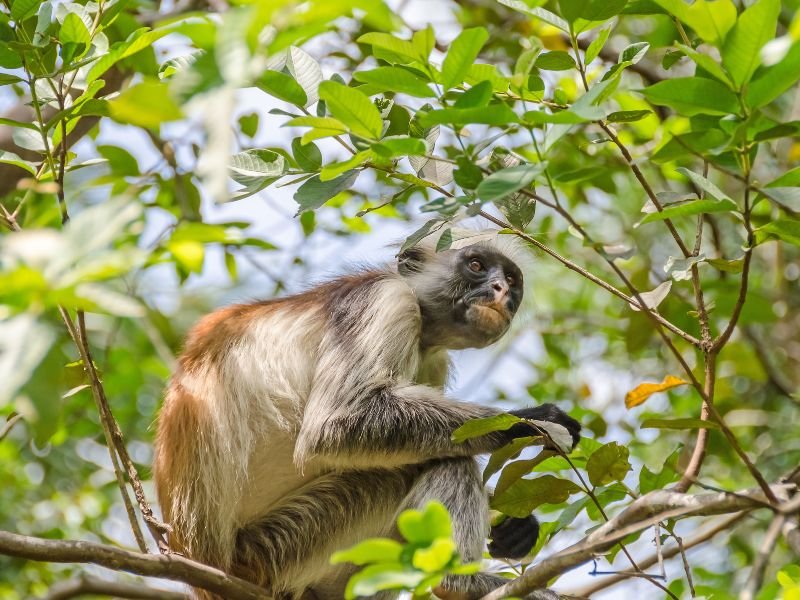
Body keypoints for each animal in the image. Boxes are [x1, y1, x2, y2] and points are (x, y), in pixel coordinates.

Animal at [153, 233, 581, 600]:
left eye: (511, 279)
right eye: (476, 265)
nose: (501, 291)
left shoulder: (432, 358)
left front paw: (512, 526)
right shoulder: (384, 300)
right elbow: (338, 424)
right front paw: (530, 421)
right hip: (277, 547)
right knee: (441, 462)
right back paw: (456, 581)